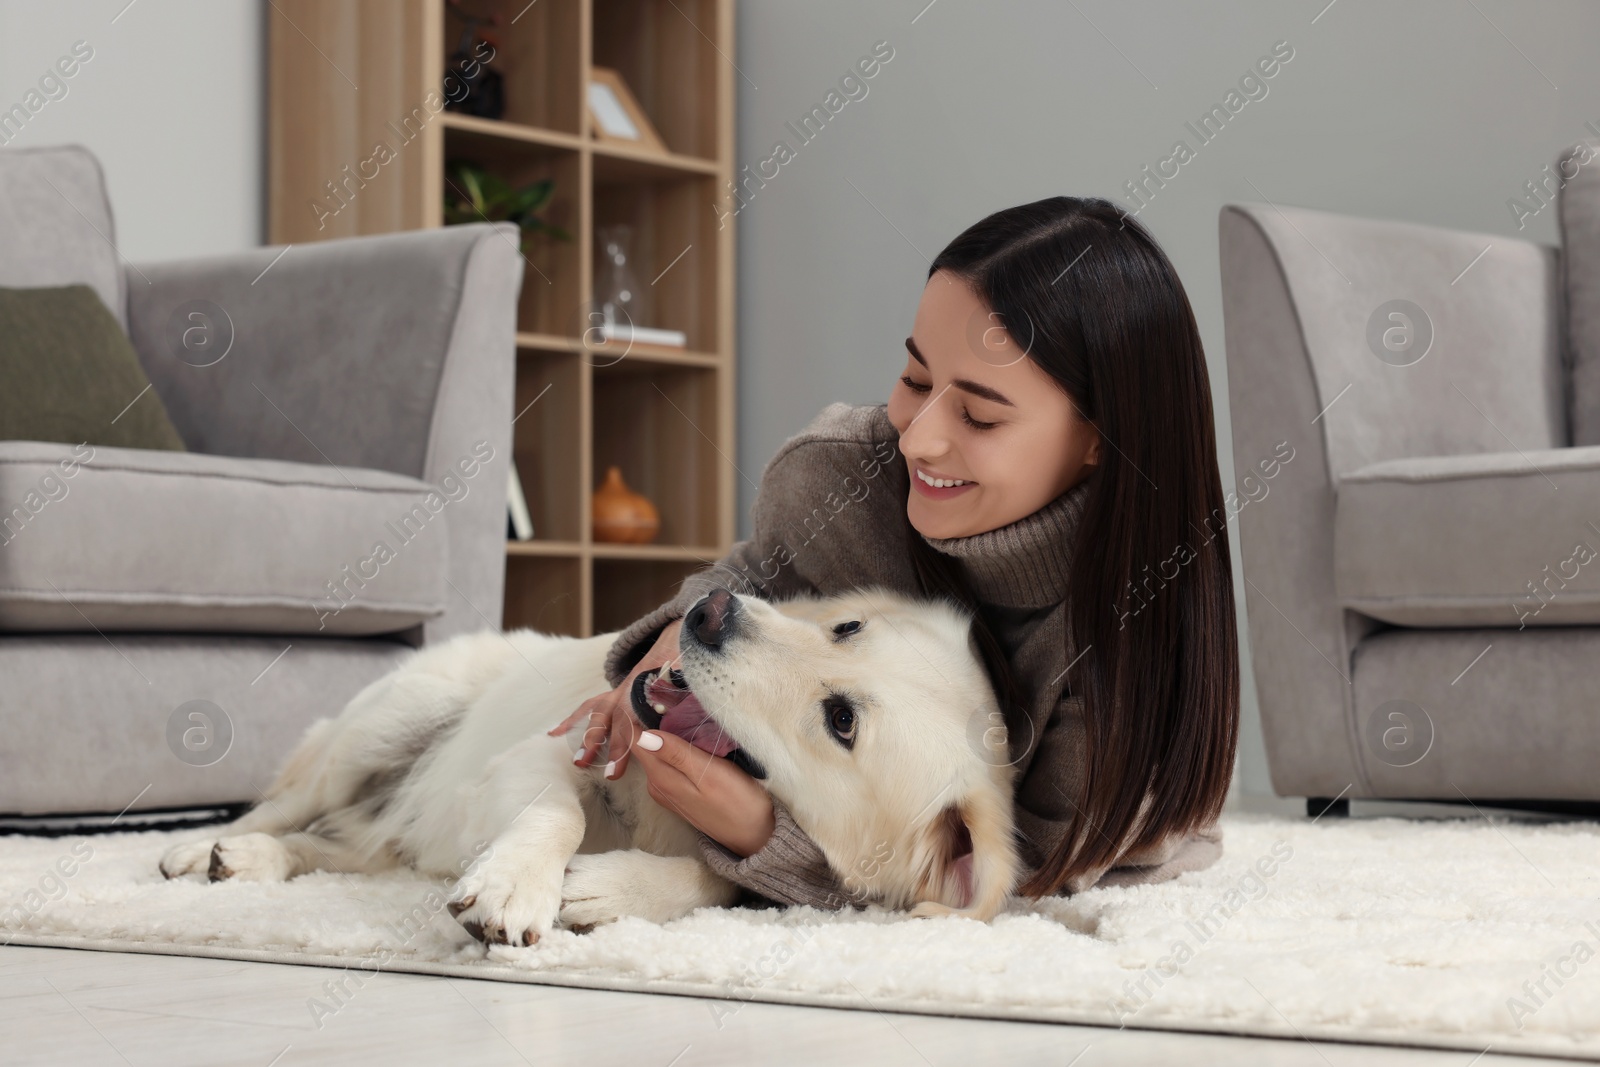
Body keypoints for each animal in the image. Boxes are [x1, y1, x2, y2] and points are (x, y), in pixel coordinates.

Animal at [159, 588, 1011, 947]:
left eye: (842, 721)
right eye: (847, 625)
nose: (710, 609)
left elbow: (718, 878)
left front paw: (607, 890)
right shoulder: (546, 750)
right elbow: (558, 812)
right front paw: (516, 887)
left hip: (388, 827)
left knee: (343, 847)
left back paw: (251, 859)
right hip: (384, 726)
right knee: (285, 805)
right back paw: (202, 850)